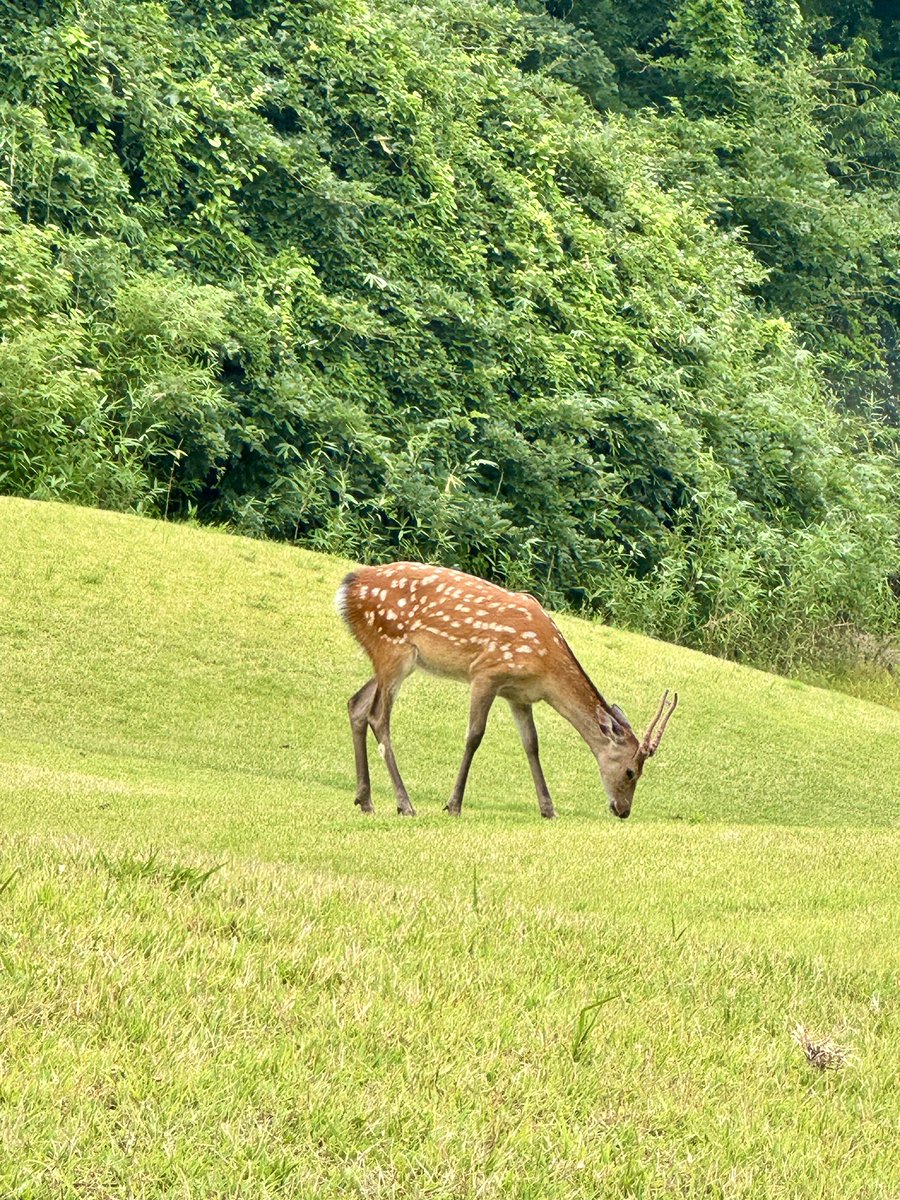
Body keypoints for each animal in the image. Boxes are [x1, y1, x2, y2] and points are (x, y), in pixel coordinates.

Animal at [336, 562, 677, 820]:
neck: (545, 666)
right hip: (393, 647)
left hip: (393, 658)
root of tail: (346, 590)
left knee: (357, 704)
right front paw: (453, 805)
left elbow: (531, 744)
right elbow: (474, 736)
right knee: (378, 716)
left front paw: (548, 809)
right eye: (632, 771)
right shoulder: (487, 672)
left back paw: (365, 800)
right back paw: (404, 804)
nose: (623, 810)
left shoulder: (519, 695)